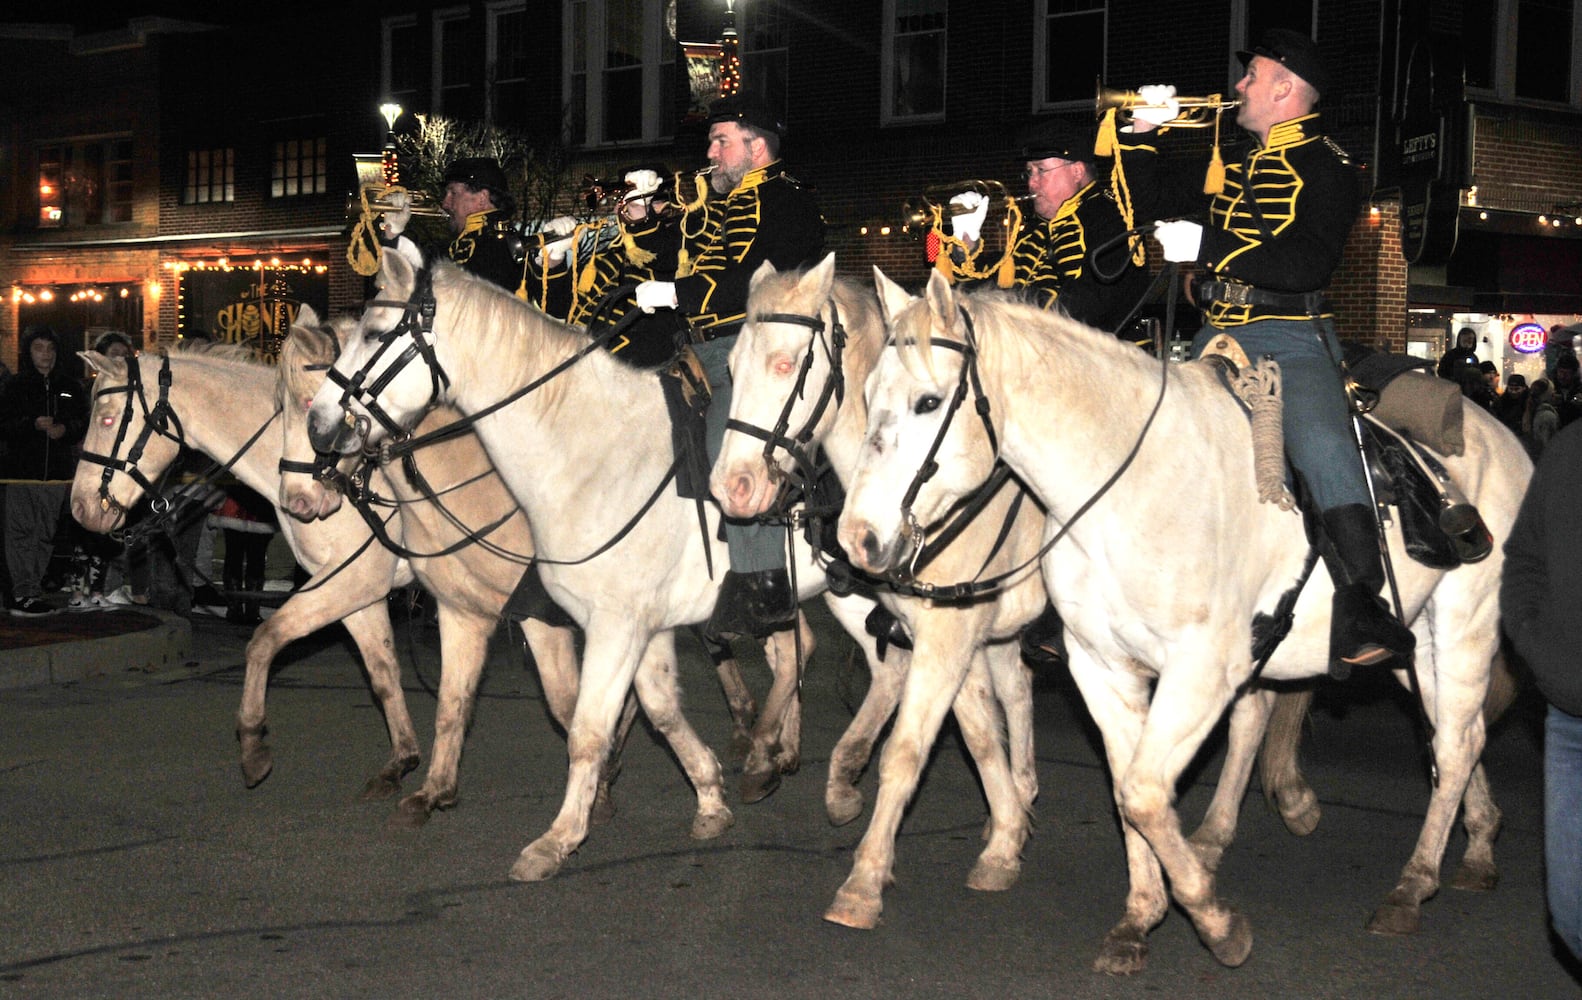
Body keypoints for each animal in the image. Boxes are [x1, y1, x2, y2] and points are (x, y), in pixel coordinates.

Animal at [303, 238, 898, 879]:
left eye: (375, 332)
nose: (319, 424)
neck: (592, 451)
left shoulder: (614, 625)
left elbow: (587, 729)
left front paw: (557, 839)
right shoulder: (638, 626)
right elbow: (659, 709)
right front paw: (709, 799)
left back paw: (781, 757)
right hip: (846, 589)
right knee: (881, 666)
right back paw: (832, 778)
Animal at [835, 268, 1525, 974]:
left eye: (927, 401)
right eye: (863, 394)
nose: (857, 539)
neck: (1126, 490)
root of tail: (1499, 436)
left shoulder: (1197, 672)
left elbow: (1140, 790)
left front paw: (1215, 921)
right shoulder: (1101, 667)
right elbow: (1124, 789)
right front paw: (1141, 915)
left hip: (1462, 623)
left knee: (1455, 741)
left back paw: (1412, 886)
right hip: (1413, 644)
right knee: (1452, 734)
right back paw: (1473, 847)